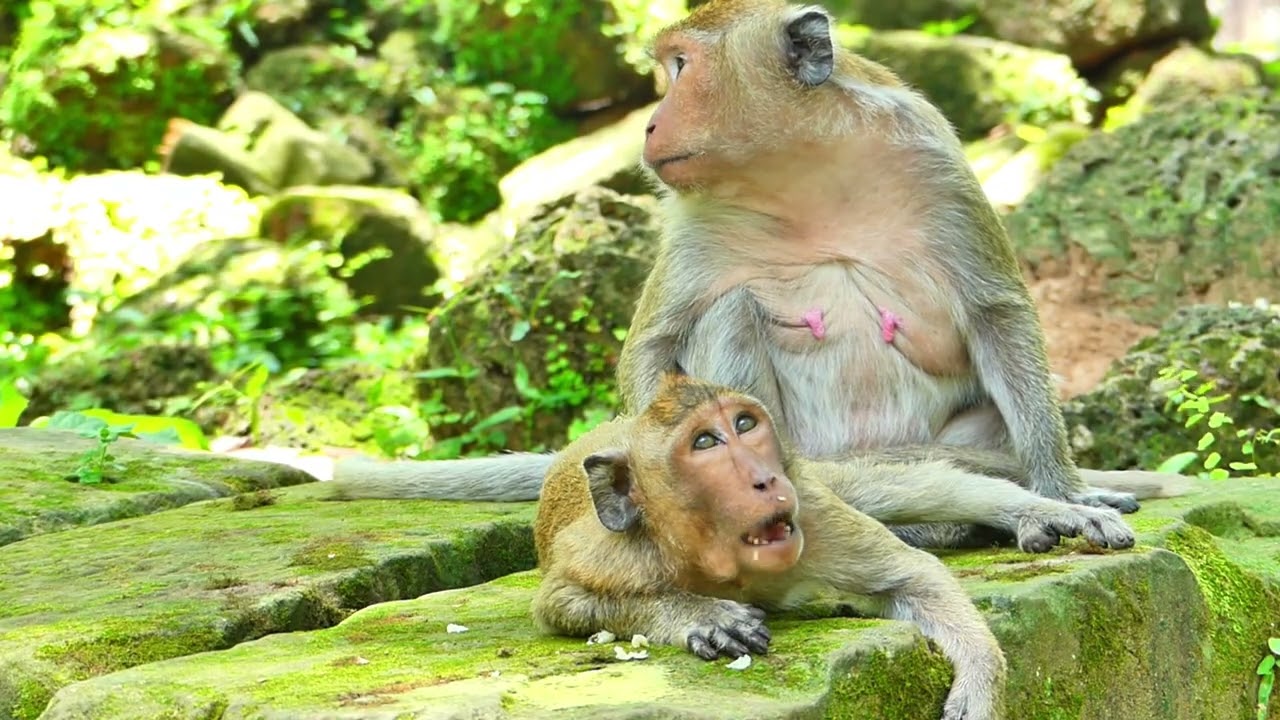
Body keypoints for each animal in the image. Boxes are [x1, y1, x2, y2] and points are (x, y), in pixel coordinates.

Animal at [329, 0, 1193, 548]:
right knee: (730, 311)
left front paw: (1063, 487)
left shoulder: (936, 159)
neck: (805, 170)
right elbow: (656, 345)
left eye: (682, 66)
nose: (648, 122)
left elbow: (996, 314)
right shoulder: (693, 213)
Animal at [532, 372, 1025, 720]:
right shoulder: (616, 554)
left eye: (744, 424)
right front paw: (703, 615)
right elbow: (561, 602)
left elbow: (916, 577)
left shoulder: (814, 518)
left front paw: (980, 685)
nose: (765, 478)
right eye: (705, 441)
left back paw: (1030, 512)